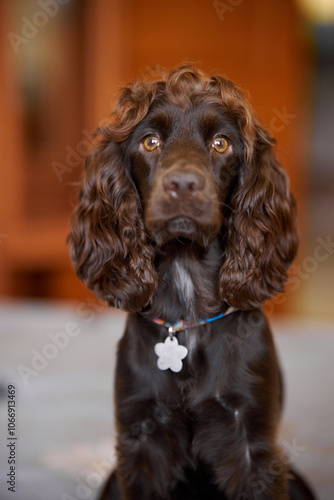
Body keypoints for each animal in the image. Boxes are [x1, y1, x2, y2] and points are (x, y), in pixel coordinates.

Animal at [68, 67, 316, 500]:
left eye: (221, 144)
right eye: (150, 141)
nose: (183, 185)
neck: (189, 309)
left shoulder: (252, 441)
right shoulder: (142, 440)